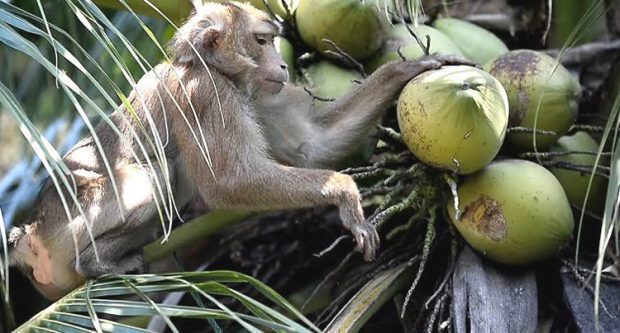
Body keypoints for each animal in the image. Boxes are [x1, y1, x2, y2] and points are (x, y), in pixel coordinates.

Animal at [7, 1, 472, 300]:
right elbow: (228, 183)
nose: (282, 65)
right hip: (74, 219)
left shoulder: (261, 94)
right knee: (155, 178)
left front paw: (405, 71)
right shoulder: (208, 95)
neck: (211, 68)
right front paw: (345, 194)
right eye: (263, 41)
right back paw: (97, 264)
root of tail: (29, 231)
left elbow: (311, 147)